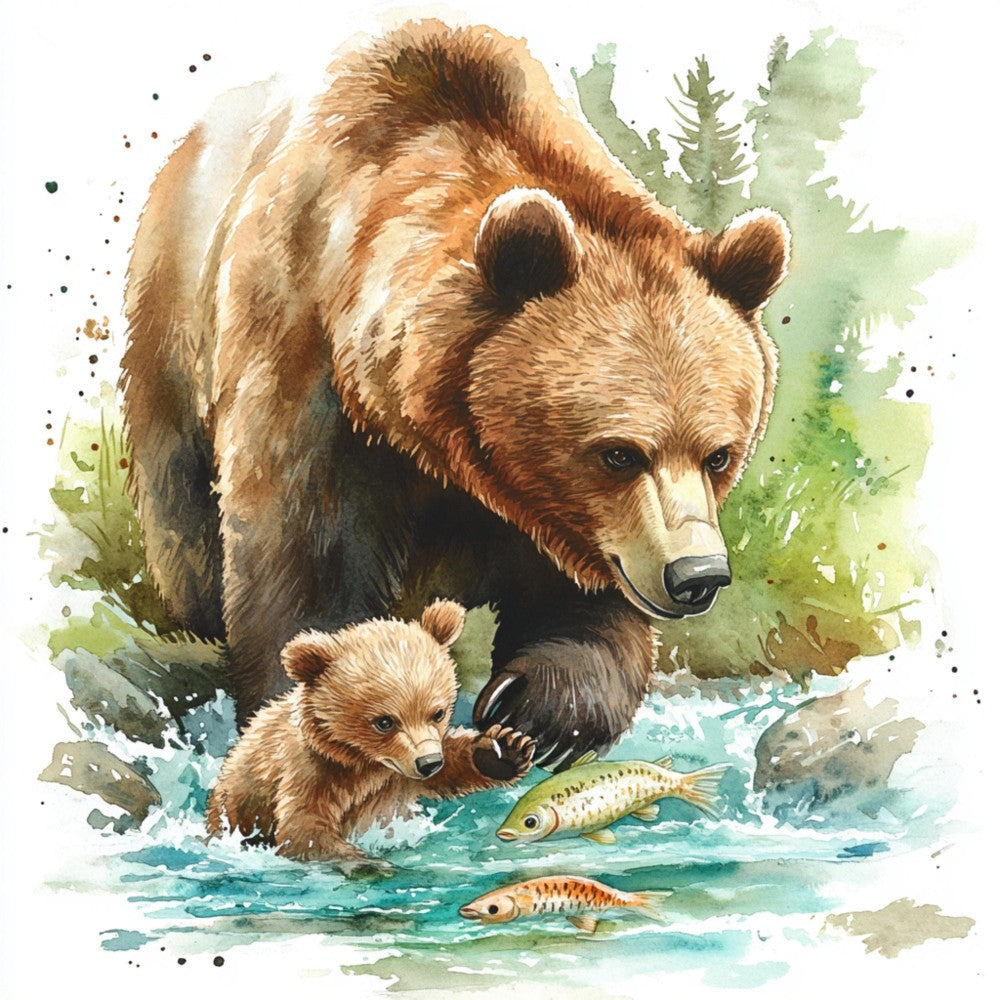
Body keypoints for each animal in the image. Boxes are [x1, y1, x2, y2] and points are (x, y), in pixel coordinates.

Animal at [122, 20, 789, 769]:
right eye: (619, 453)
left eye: (718, 454)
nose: (698, 574)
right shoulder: (303, 359)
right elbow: (303, 548)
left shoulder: (560, 510)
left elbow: (582, 595)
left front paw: (537, 713)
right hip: (172, 328)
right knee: (182, 506)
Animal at [205, 599, 535, 865]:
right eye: (384, 722)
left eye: (438, 712)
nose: (429, 762)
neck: (363, 761)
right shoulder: (309, 771)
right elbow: (304, 825)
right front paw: (364, 862)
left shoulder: (398, 777)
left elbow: (454, 767)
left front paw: (505, 751)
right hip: (234, 805)